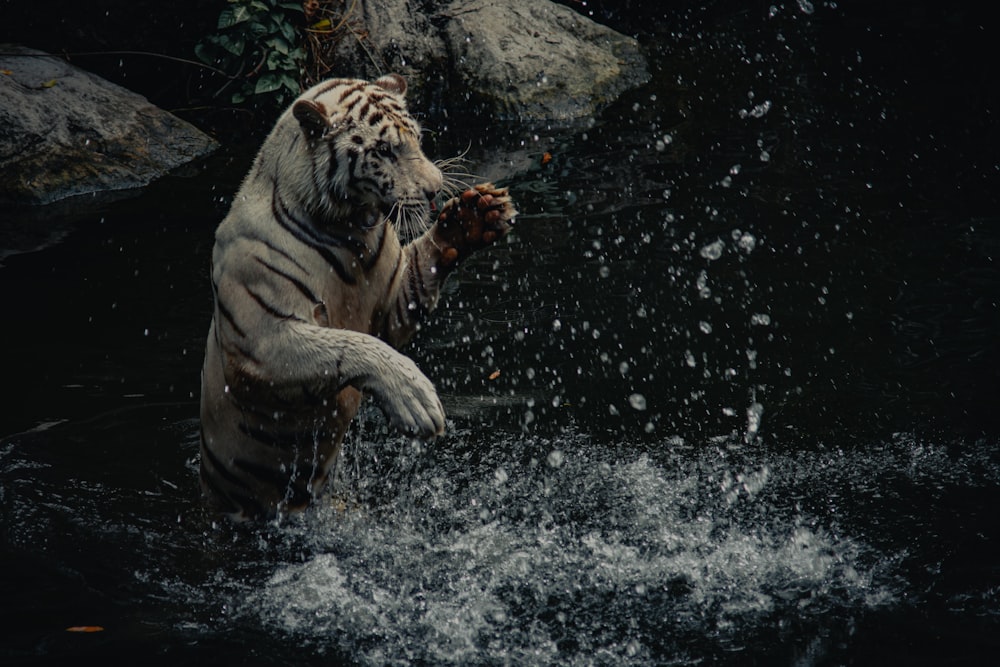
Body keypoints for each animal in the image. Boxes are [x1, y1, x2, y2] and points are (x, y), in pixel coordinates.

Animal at [200, 74, 520, 520]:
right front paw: (416, 400)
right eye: (384, 151)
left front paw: (475, 215)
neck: (350, 232)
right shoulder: (263, 340)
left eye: (418, 139)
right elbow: (349, 344)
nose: (436, 189)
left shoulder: (394, 300)